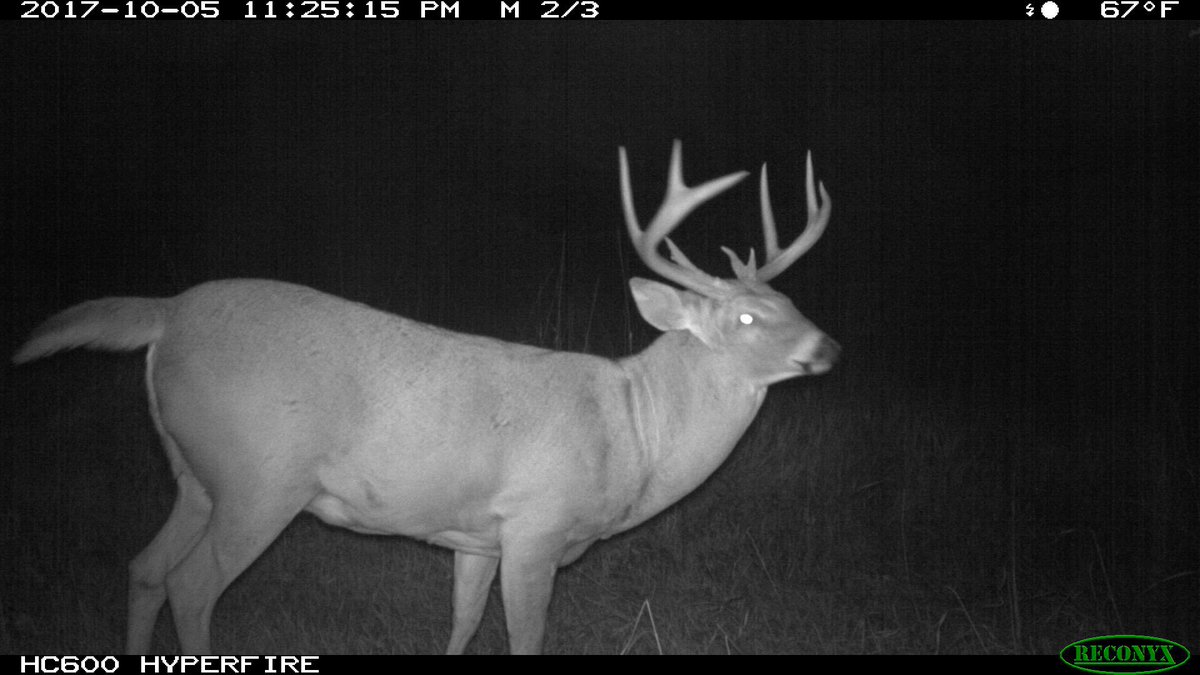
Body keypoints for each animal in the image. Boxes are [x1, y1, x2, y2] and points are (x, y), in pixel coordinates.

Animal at [12, 140, 838, 654]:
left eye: (791, 300)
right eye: (746, 318)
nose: (827, 347)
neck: (633, 432)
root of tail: (166, 314)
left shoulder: (476, 536)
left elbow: (464, 623)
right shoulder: (536, 524)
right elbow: (526, 637)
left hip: (194, 474)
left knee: (145, 568)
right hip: (259, 478)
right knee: (190, 586)